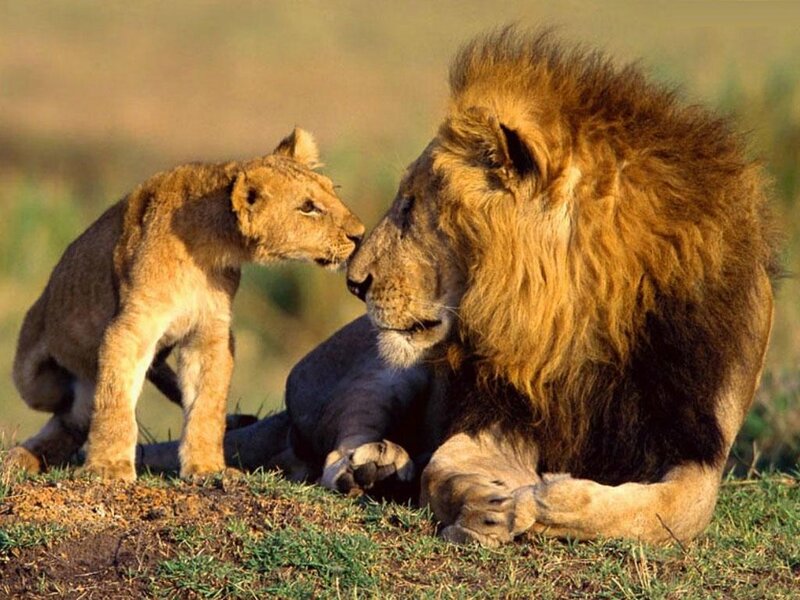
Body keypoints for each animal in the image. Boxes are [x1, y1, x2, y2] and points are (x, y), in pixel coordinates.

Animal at [5, 128, 365, 482]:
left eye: (333, 191)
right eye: (308, 207)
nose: (360, 235)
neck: (209, 247)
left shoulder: (210, 333)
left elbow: (207, 405)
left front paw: (206, 468)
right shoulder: (131, 327)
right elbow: (115, 401)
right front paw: (109, 467)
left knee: (75, 420)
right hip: (34, 379)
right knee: (67, 410)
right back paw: (20, 457)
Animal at [141, 29, 779, 545]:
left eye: (412, 205)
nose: (355, 282)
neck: (579, 324)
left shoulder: (698, 441)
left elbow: (679, 510)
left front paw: (552, 499)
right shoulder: (492, 412)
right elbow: (447, 469)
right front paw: (490, 504)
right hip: (385, 365)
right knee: (333, 448)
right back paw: (371, 469)